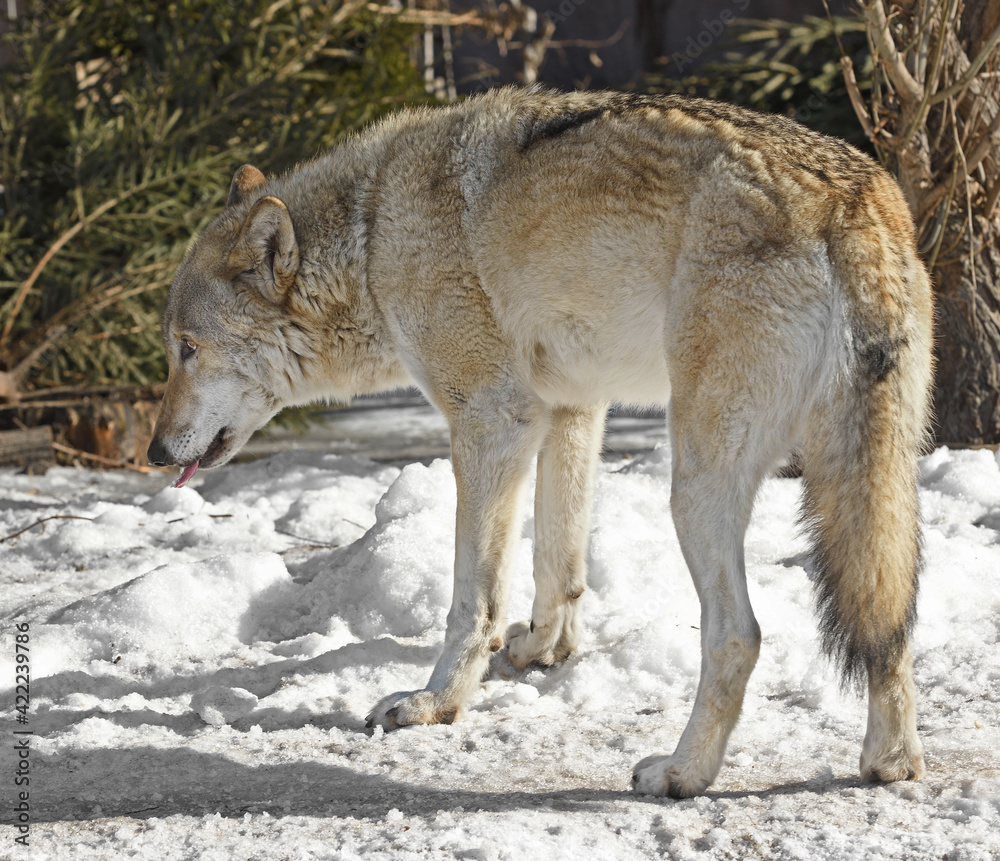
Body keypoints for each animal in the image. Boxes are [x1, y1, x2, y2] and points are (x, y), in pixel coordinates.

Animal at [148, 87, 933, 797]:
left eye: (188, 348)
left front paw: (435, 703)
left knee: (740, 634)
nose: (153, 453)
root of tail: (854, 202)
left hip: (694, 486)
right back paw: (889, 763)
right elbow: (560, 560)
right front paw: (544, 649)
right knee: (890, 620)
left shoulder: (491, 420)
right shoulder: (571, 408)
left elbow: (473, 597)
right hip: (876, 483)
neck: (371, 238)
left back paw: (681, 773)